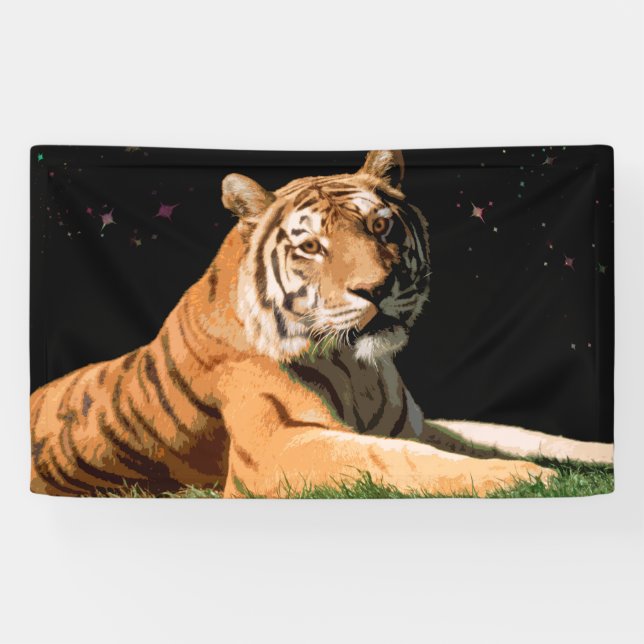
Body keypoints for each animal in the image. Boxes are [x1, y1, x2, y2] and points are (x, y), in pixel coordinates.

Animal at [29, 150, 612, 498]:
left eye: (380, 226)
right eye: (311, 246)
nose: (376, 288)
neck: (359, 369)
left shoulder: (417, 424)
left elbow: (514, 434)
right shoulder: (275, 449)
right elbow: (399, 461)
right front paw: (526, 479)